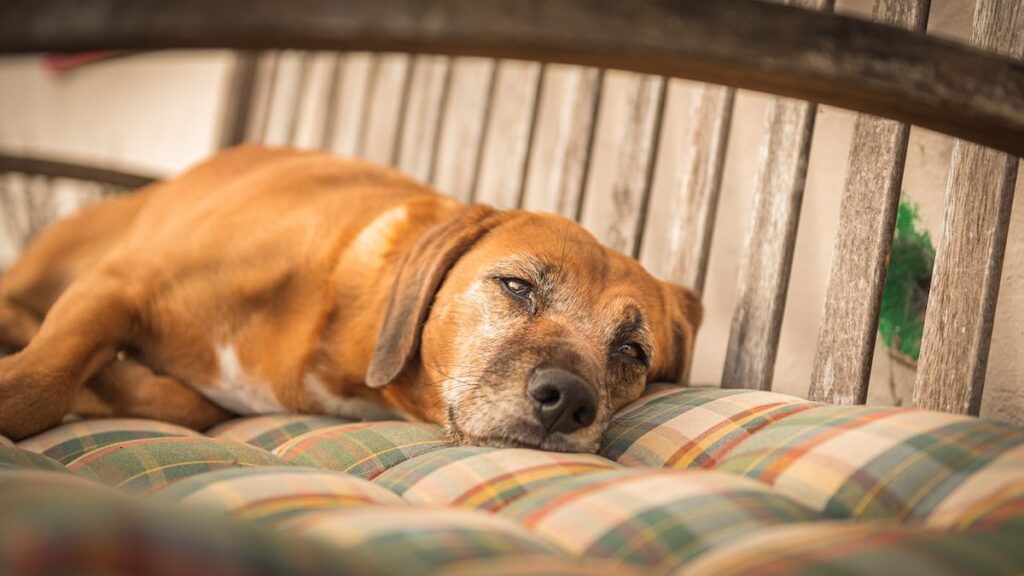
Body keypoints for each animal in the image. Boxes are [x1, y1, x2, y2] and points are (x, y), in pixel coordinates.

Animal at [0, 143, 700, 448]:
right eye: (517, 286)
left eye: (633, 352)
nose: (569, 403)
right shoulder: (118, 283)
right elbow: (39, 385)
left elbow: (177, 400)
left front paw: (108, 382)